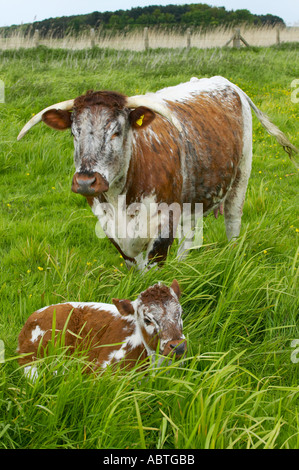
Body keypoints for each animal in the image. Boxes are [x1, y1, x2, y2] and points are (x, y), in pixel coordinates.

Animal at [17, 75, 298, 270]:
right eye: (74, 133)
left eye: (117, 131)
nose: (86, 181)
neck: (120, 200)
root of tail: (226, 82)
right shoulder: (111, 230)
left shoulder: (163, 229)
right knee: (190, 232)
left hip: (241, 175)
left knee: (232, 220)